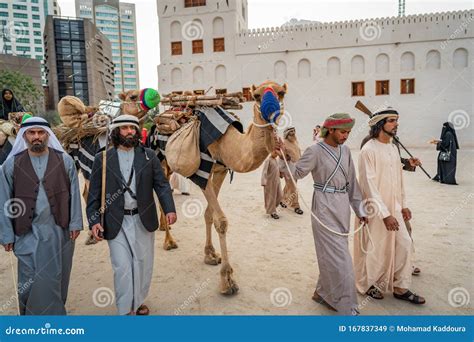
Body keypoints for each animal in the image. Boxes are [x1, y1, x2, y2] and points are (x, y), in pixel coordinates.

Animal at [144, 81, 286, 294]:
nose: (272, 111)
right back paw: (169, 241)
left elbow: (209, 214)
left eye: (281, 92)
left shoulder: (220, 171)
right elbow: (221, 220)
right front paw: (227, 280)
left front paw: (210, 255)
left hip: (168, 165)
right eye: (257, 95)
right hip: (158, 158)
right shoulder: (202, 173)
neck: (226, 142)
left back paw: (163, 227)